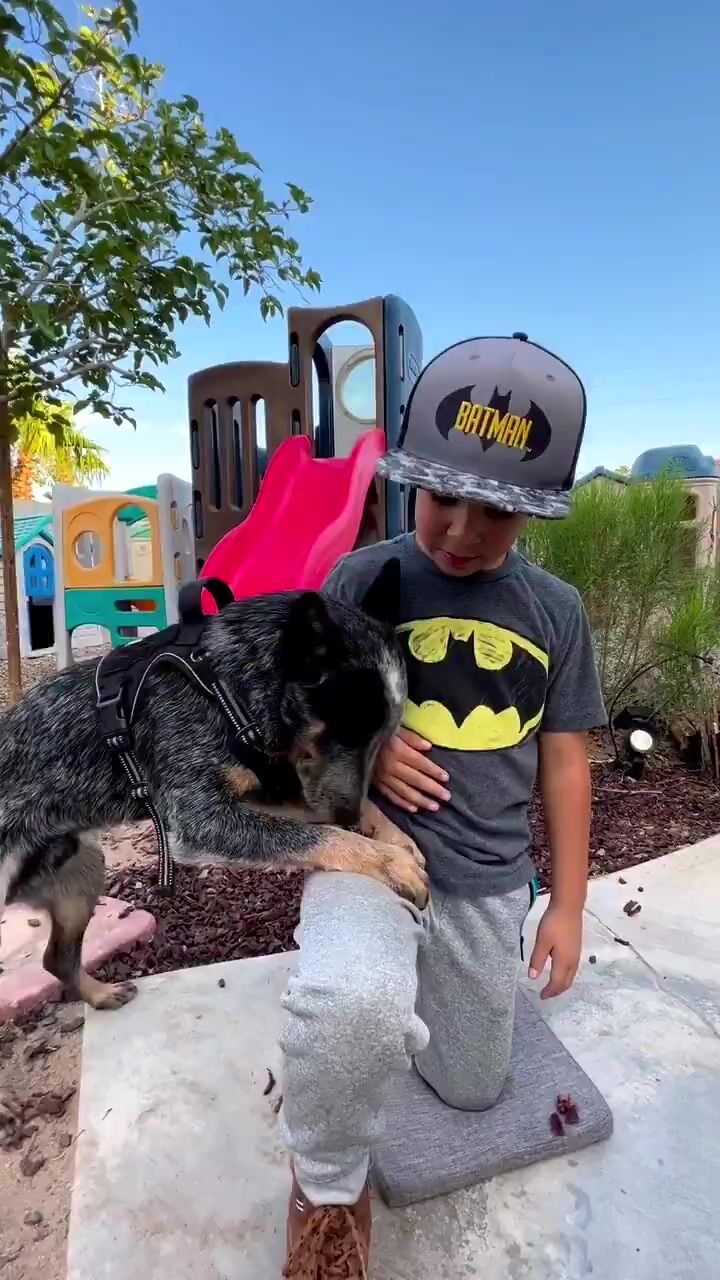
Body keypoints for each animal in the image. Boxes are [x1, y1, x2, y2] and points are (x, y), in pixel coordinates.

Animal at [0, 559, 428, 1012]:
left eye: (383, 737)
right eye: (342, 730)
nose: (346, 813)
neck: (219, 683)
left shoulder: (265, 786)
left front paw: (392, 835)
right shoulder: (201, 818)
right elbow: (318, 835)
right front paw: (388, 860)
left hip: (83, 868)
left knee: (57, 957)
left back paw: (101, 994)